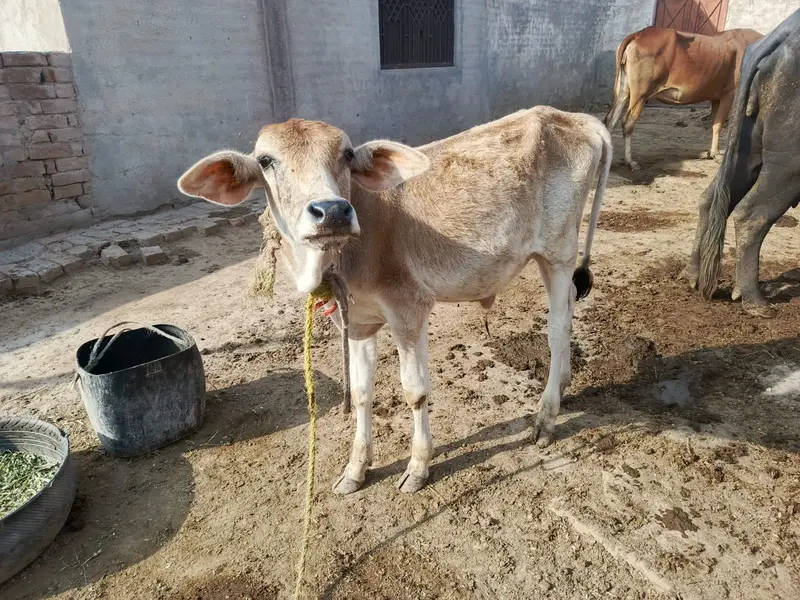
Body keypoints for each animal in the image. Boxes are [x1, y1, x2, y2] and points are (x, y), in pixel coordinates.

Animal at [177, 107, 611, 494]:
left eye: (346, 154)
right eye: (266, 161)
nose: (332, 211)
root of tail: (573, 117)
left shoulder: (408, 309)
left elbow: (414, 391)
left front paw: (418, 467)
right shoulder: (358, 321)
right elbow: (361, 392)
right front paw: (355, 469)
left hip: (557, 254)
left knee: (558, 329)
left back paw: (545, 417)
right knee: (569, 311)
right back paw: (564, 385)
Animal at [604, 26, 763, 170]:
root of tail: (638, 34)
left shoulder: (716, 96)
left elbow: (714, 123)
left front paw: (710, 152)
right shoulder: (729, 94)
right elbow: (719, 125)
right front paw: (716, 153)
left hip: (624, 89)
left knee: (610, 120)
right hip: (641, 94)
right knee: (627, 122)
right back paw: (630, 161)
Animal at [682, 8, 800, 317]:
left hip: (746, 148)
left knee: (710, 200)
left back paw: (693, 277)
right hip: (789, 163)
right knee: (751, 214)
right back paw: (754, 301)